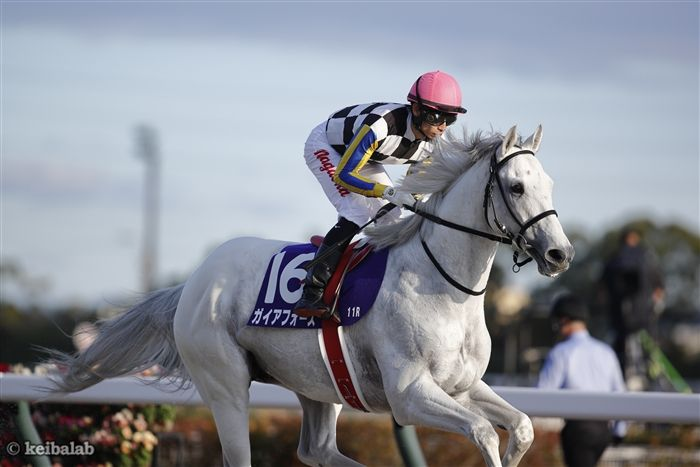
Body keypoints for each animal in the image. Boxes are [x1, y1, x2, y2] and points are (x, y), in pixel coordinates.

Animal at [49, 124, 574, 467]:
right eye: (516, 186)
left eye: (549, 184)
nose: (560, 253)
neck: (443, 286)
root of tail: (195, 281)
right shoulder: (409, 395)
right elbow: (483, 431)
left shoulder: (462, 386)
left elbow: (522, 426)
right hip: (224, 382)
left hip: (318, 383)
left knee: (316, 450)